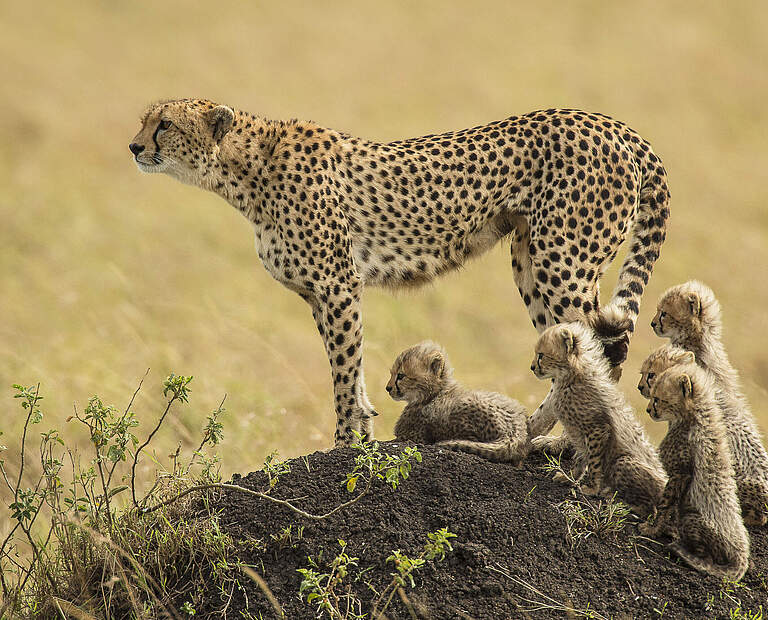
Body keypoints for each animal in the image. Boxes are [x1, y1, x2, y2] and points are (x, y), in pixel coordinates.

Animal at [129, 98, 668, 446]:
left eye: (165, 125)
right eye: (144, 121)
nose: (133, 147)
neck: (246, 171)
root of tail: (616, 125)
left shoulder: (338, 284)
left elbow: (345, 366)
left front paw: (348, 441)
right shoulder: (320, 293)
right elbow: (349, 367)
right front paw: (363, 425)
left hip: (563, 260)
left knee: (599, 352)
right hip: (530, 261)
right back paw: (531, 432)